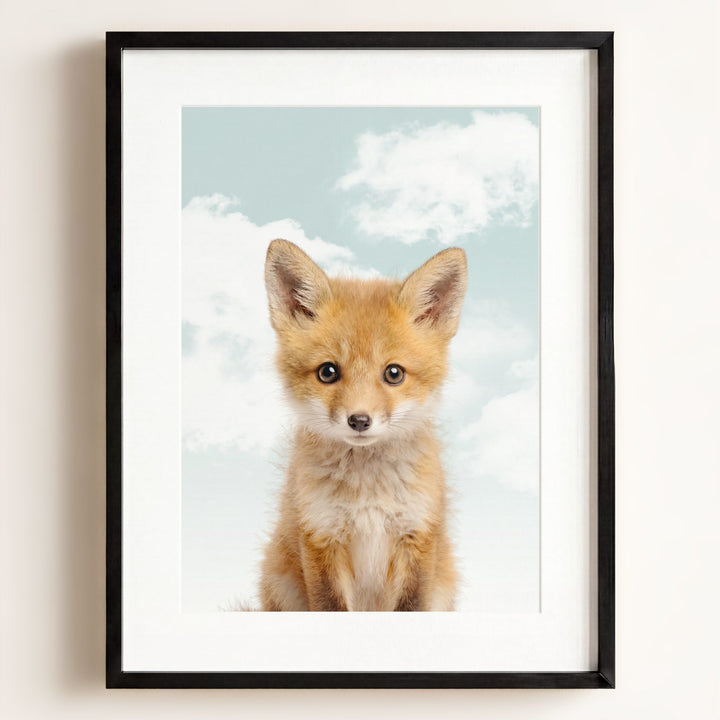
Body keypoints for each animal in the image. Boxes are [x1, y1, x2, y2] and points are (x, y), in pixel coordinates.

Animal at [259, 238, 467, 611]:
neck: (368, 494)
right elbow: (331, 606)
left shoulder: (417, 536)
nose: (358, 420)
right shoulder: (321, 536)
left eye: (394, 373)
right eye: (328, 372)